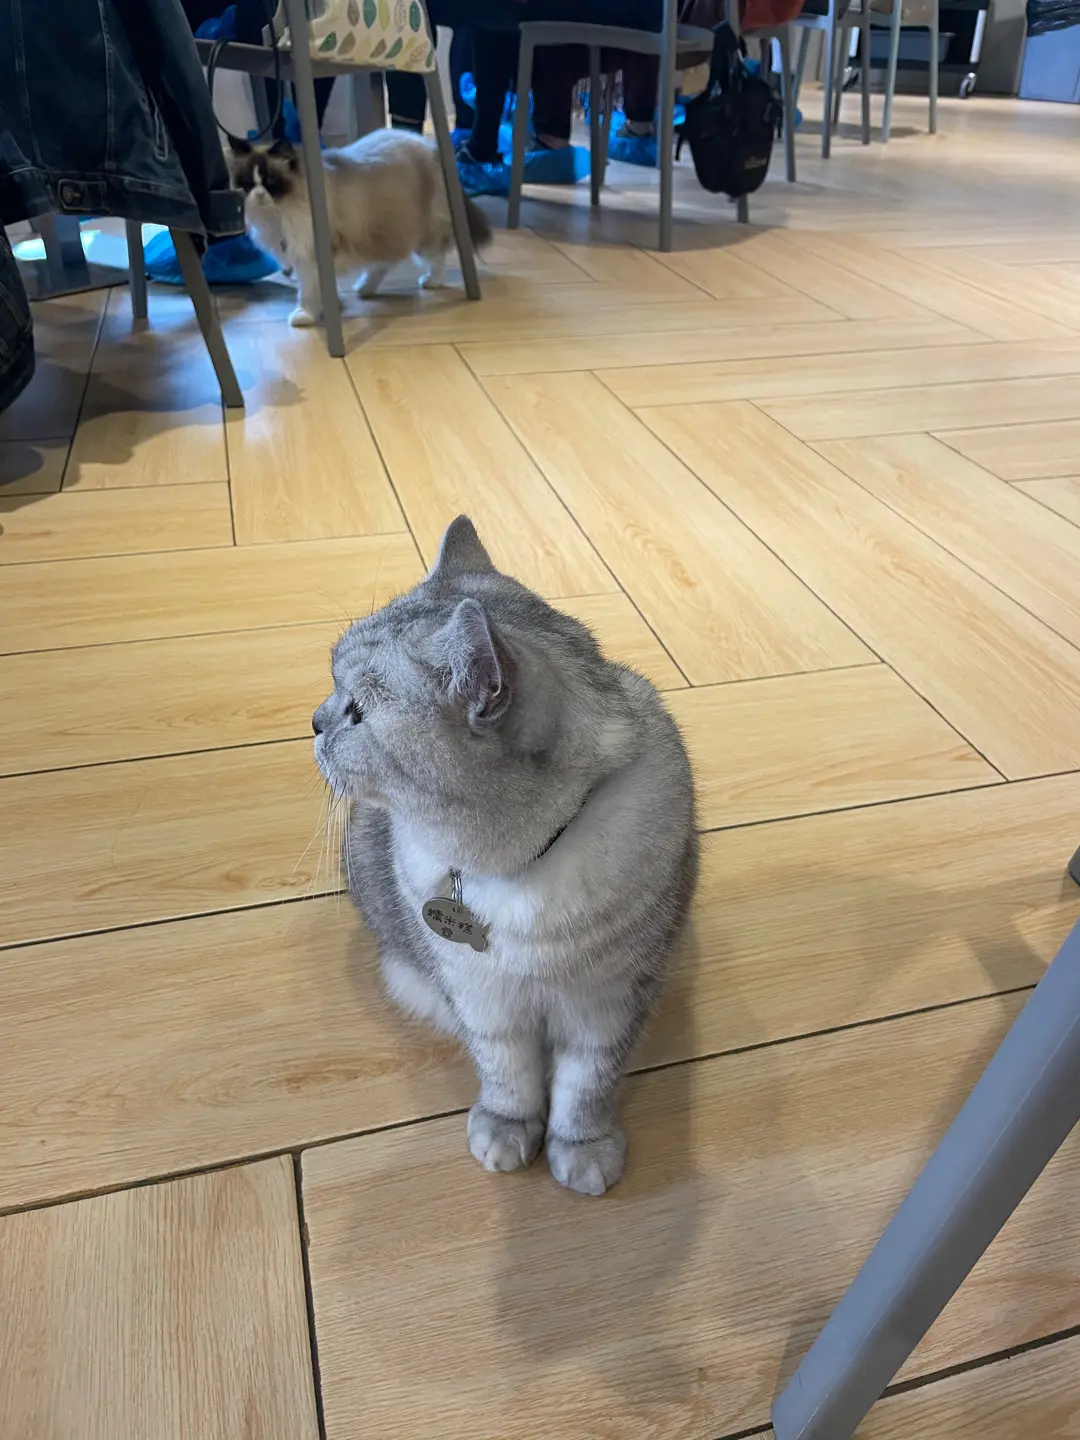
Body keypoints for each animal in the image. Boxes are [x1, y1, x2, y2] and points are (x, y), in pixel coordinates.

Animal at [228, 129, 491, 327]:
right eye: (247, 183)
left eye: (271, 182)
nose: (258, 195)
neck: (279, 215)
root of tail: (429, 144)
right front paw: (332, 306)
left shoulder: (309, 256)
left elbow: (308, 292)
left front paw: (307, 315)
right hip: (382, 232)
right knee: (386, 262)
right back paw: (365, 289)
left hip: (422, 234)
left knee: (436, 257)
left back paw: (430, 282)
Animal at [313, 517, 698, 1195]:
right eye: (332, 687)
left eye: (355, 711)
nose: (311, 723)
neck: (518, 868)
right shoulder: (481, 998)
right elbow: (507, 1076)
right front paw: (508, 1130)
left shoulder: (608, 1001)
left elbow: (585, 1087)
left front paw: (583, 1150)